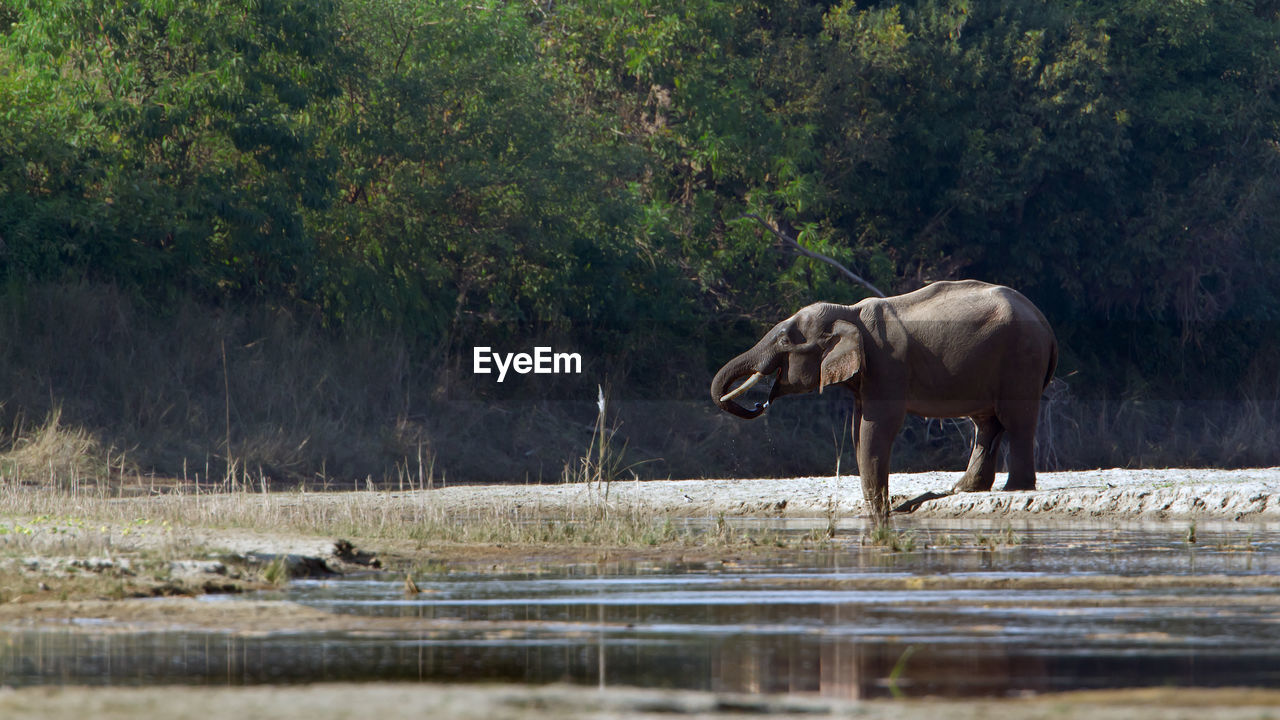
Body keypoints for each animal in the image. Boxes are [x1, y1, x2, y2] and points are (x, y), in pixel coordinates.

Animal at [711, 278, 1059, 517]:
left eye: (784, 341)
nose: (759, 404)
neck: (848, 312)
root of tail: (1046, 324)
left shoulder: (887, 363)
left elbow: (877, 425)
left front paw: (879, 514)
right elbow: (858, 430)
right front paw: (875, 513)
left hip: (1021, 357)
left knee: (1015, 420)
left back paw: (1016, 488)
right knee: (986, 422)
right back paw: (964, 489)